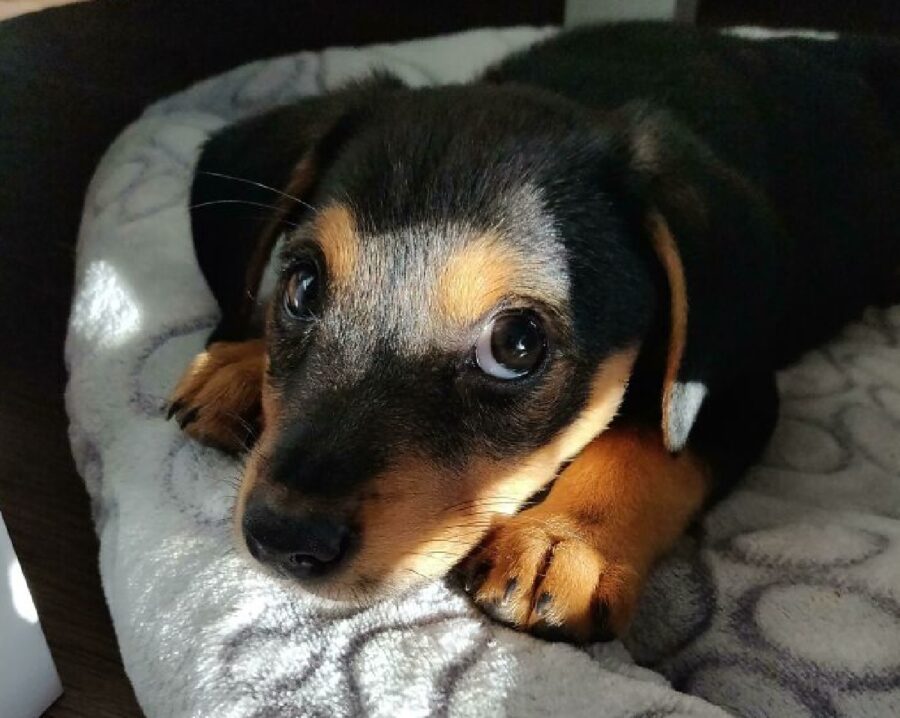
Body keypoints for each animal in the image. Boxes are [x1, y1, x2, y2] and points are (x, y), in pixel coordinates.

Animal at [169, 25, 900, 644]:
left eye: (515, 345)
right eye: (302, 287)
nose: (279, 536)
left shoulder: (734, 387)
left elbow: (653, 440)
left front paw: (562, 544)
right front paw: (237, 364)